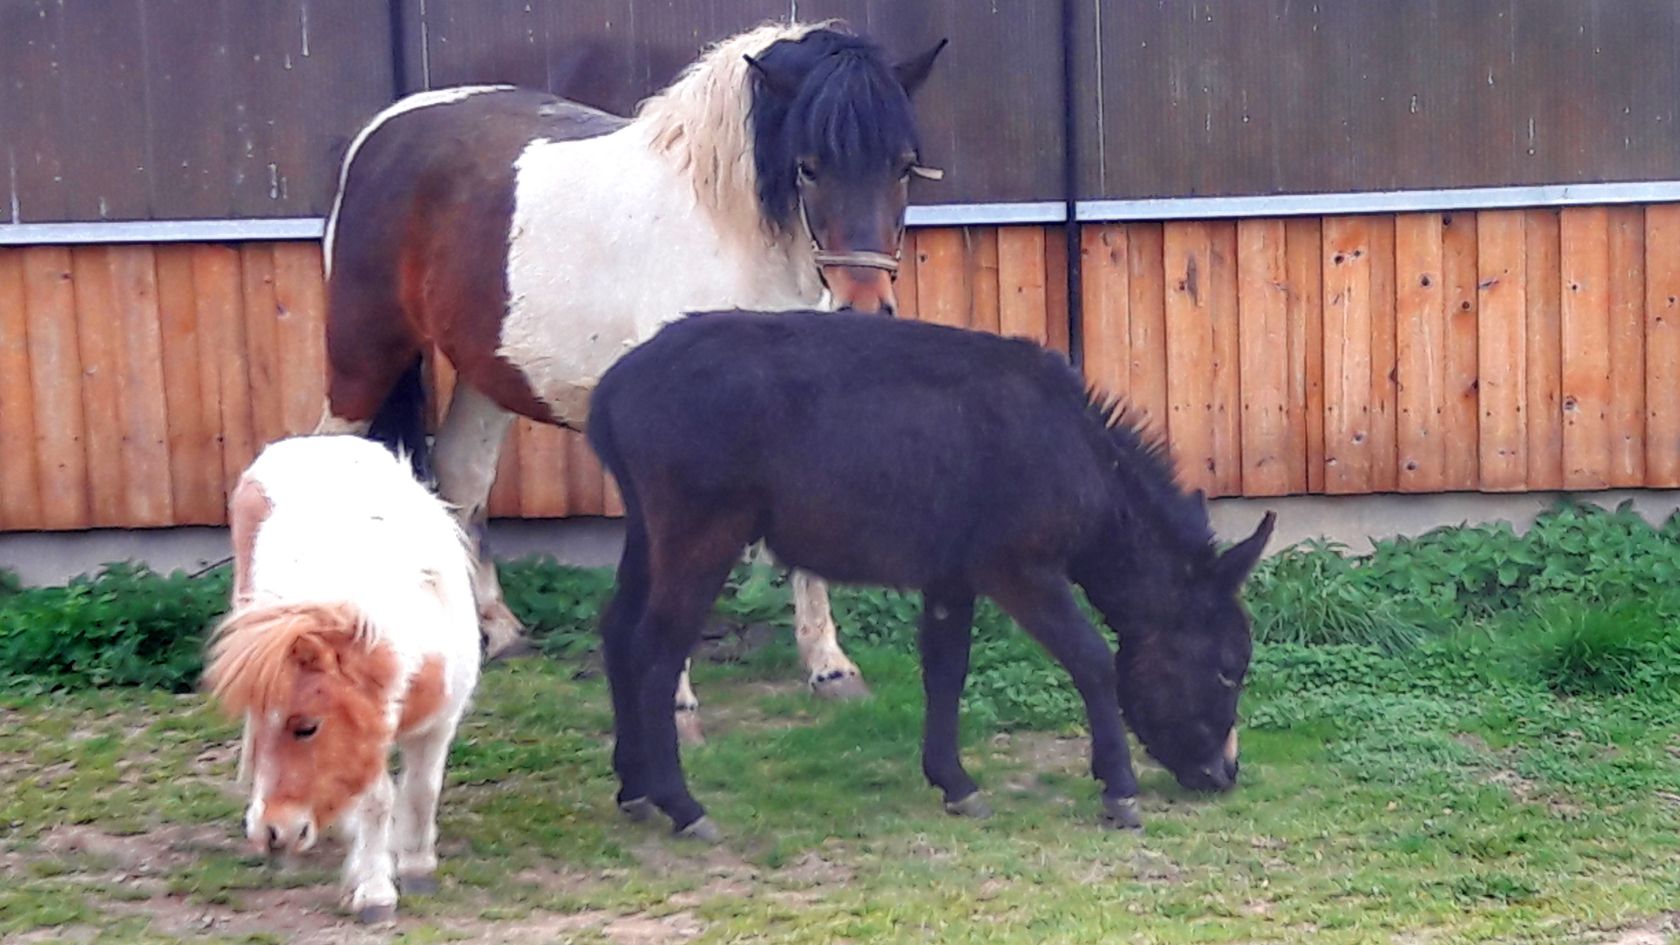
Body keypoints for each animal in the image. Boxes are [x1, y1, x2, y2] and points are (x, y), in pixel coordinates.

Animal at [204, 433, 480, 921]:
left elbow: (421, 790)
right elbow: (378, 797)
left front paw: (416, 864)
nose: (273, 833)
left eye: (307, 727)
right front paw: (373, 890)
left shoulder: (439, 721)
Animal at [315, 20, 947, 743]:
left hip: (486, 373)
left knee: (461, 479)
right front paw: (675, 709)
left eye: (903, 166)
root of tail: (383, 130)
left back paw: (498, 633)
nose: (863, 307)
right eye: (808, 165)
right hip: (363, 357)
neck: (730, 237)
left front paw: (831, 669)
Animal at [588, 312, 1270, 834]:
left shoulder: (952, 577)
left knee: (617, 632)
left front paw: (954, 783)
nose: (1225, 775)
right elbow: (1093, 660)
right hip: (702, 533)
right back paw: (681, 804)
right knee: (655, 650)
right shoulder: (1019, 569)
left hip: (648, 530)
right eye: (1227, 668)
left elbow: (946, 671)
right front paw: (1119, 788)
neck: (1082, 463)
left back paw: (634, 788)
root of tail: (612, 388)